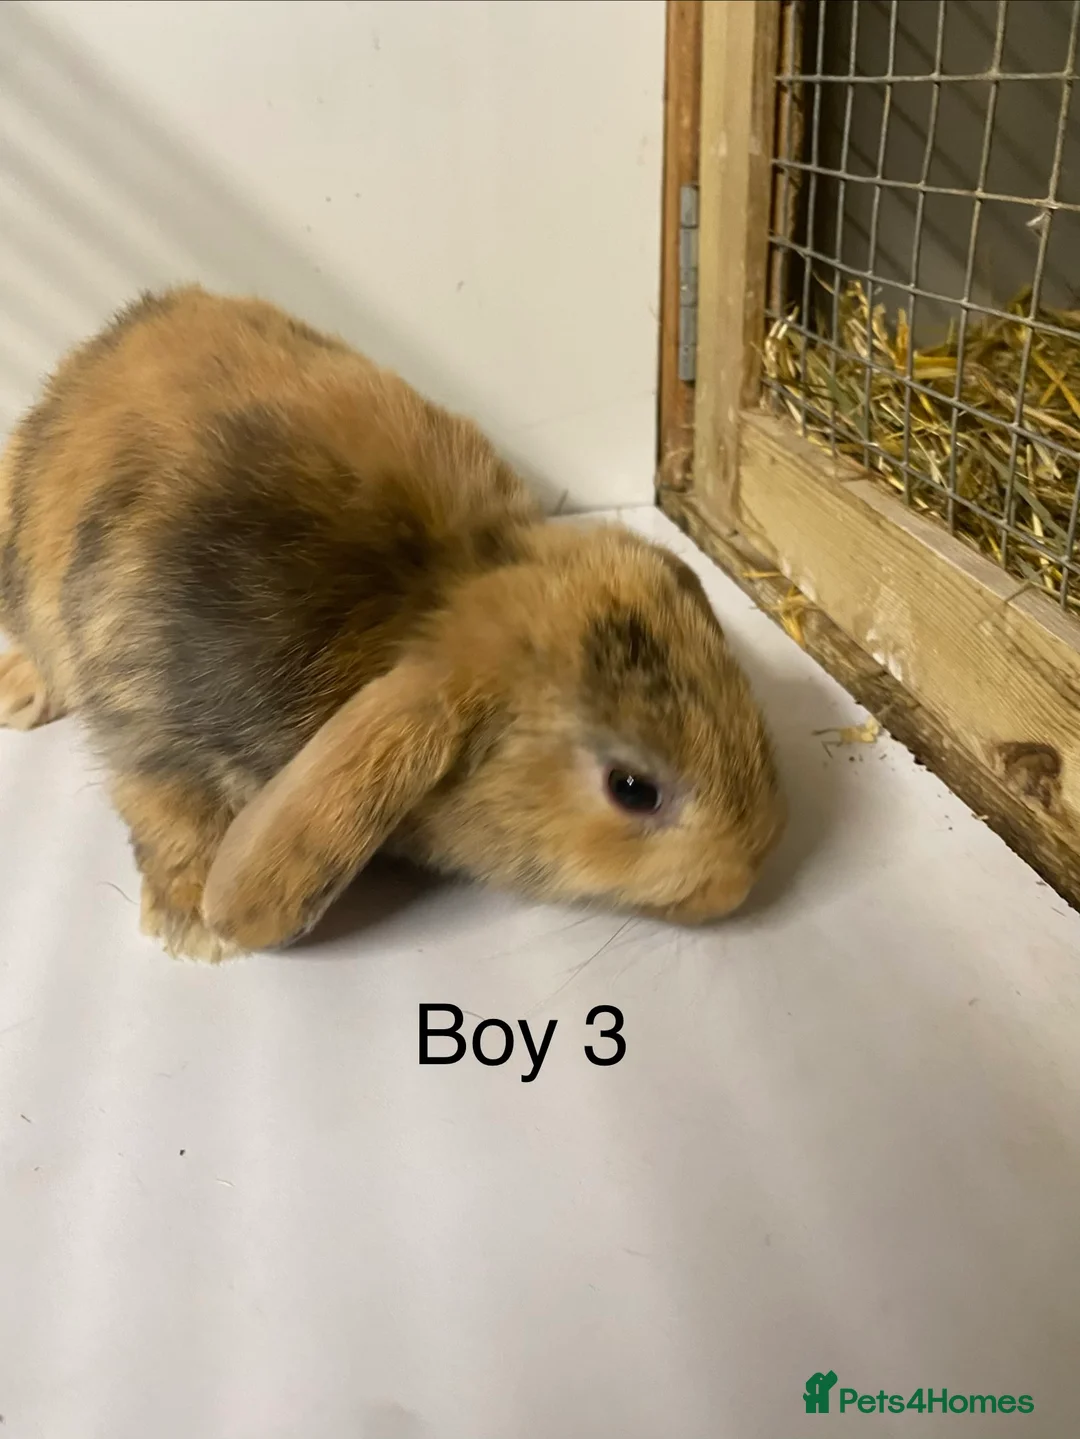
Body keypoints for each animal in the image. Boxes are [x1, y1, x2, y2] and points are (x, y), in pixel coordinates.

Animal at [0, 285, 784, 961]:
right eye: (631, 789)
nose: (741, 881)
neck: (425, 593)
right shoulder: (149, 713)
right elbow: (163, 801)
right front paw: (196, 925)